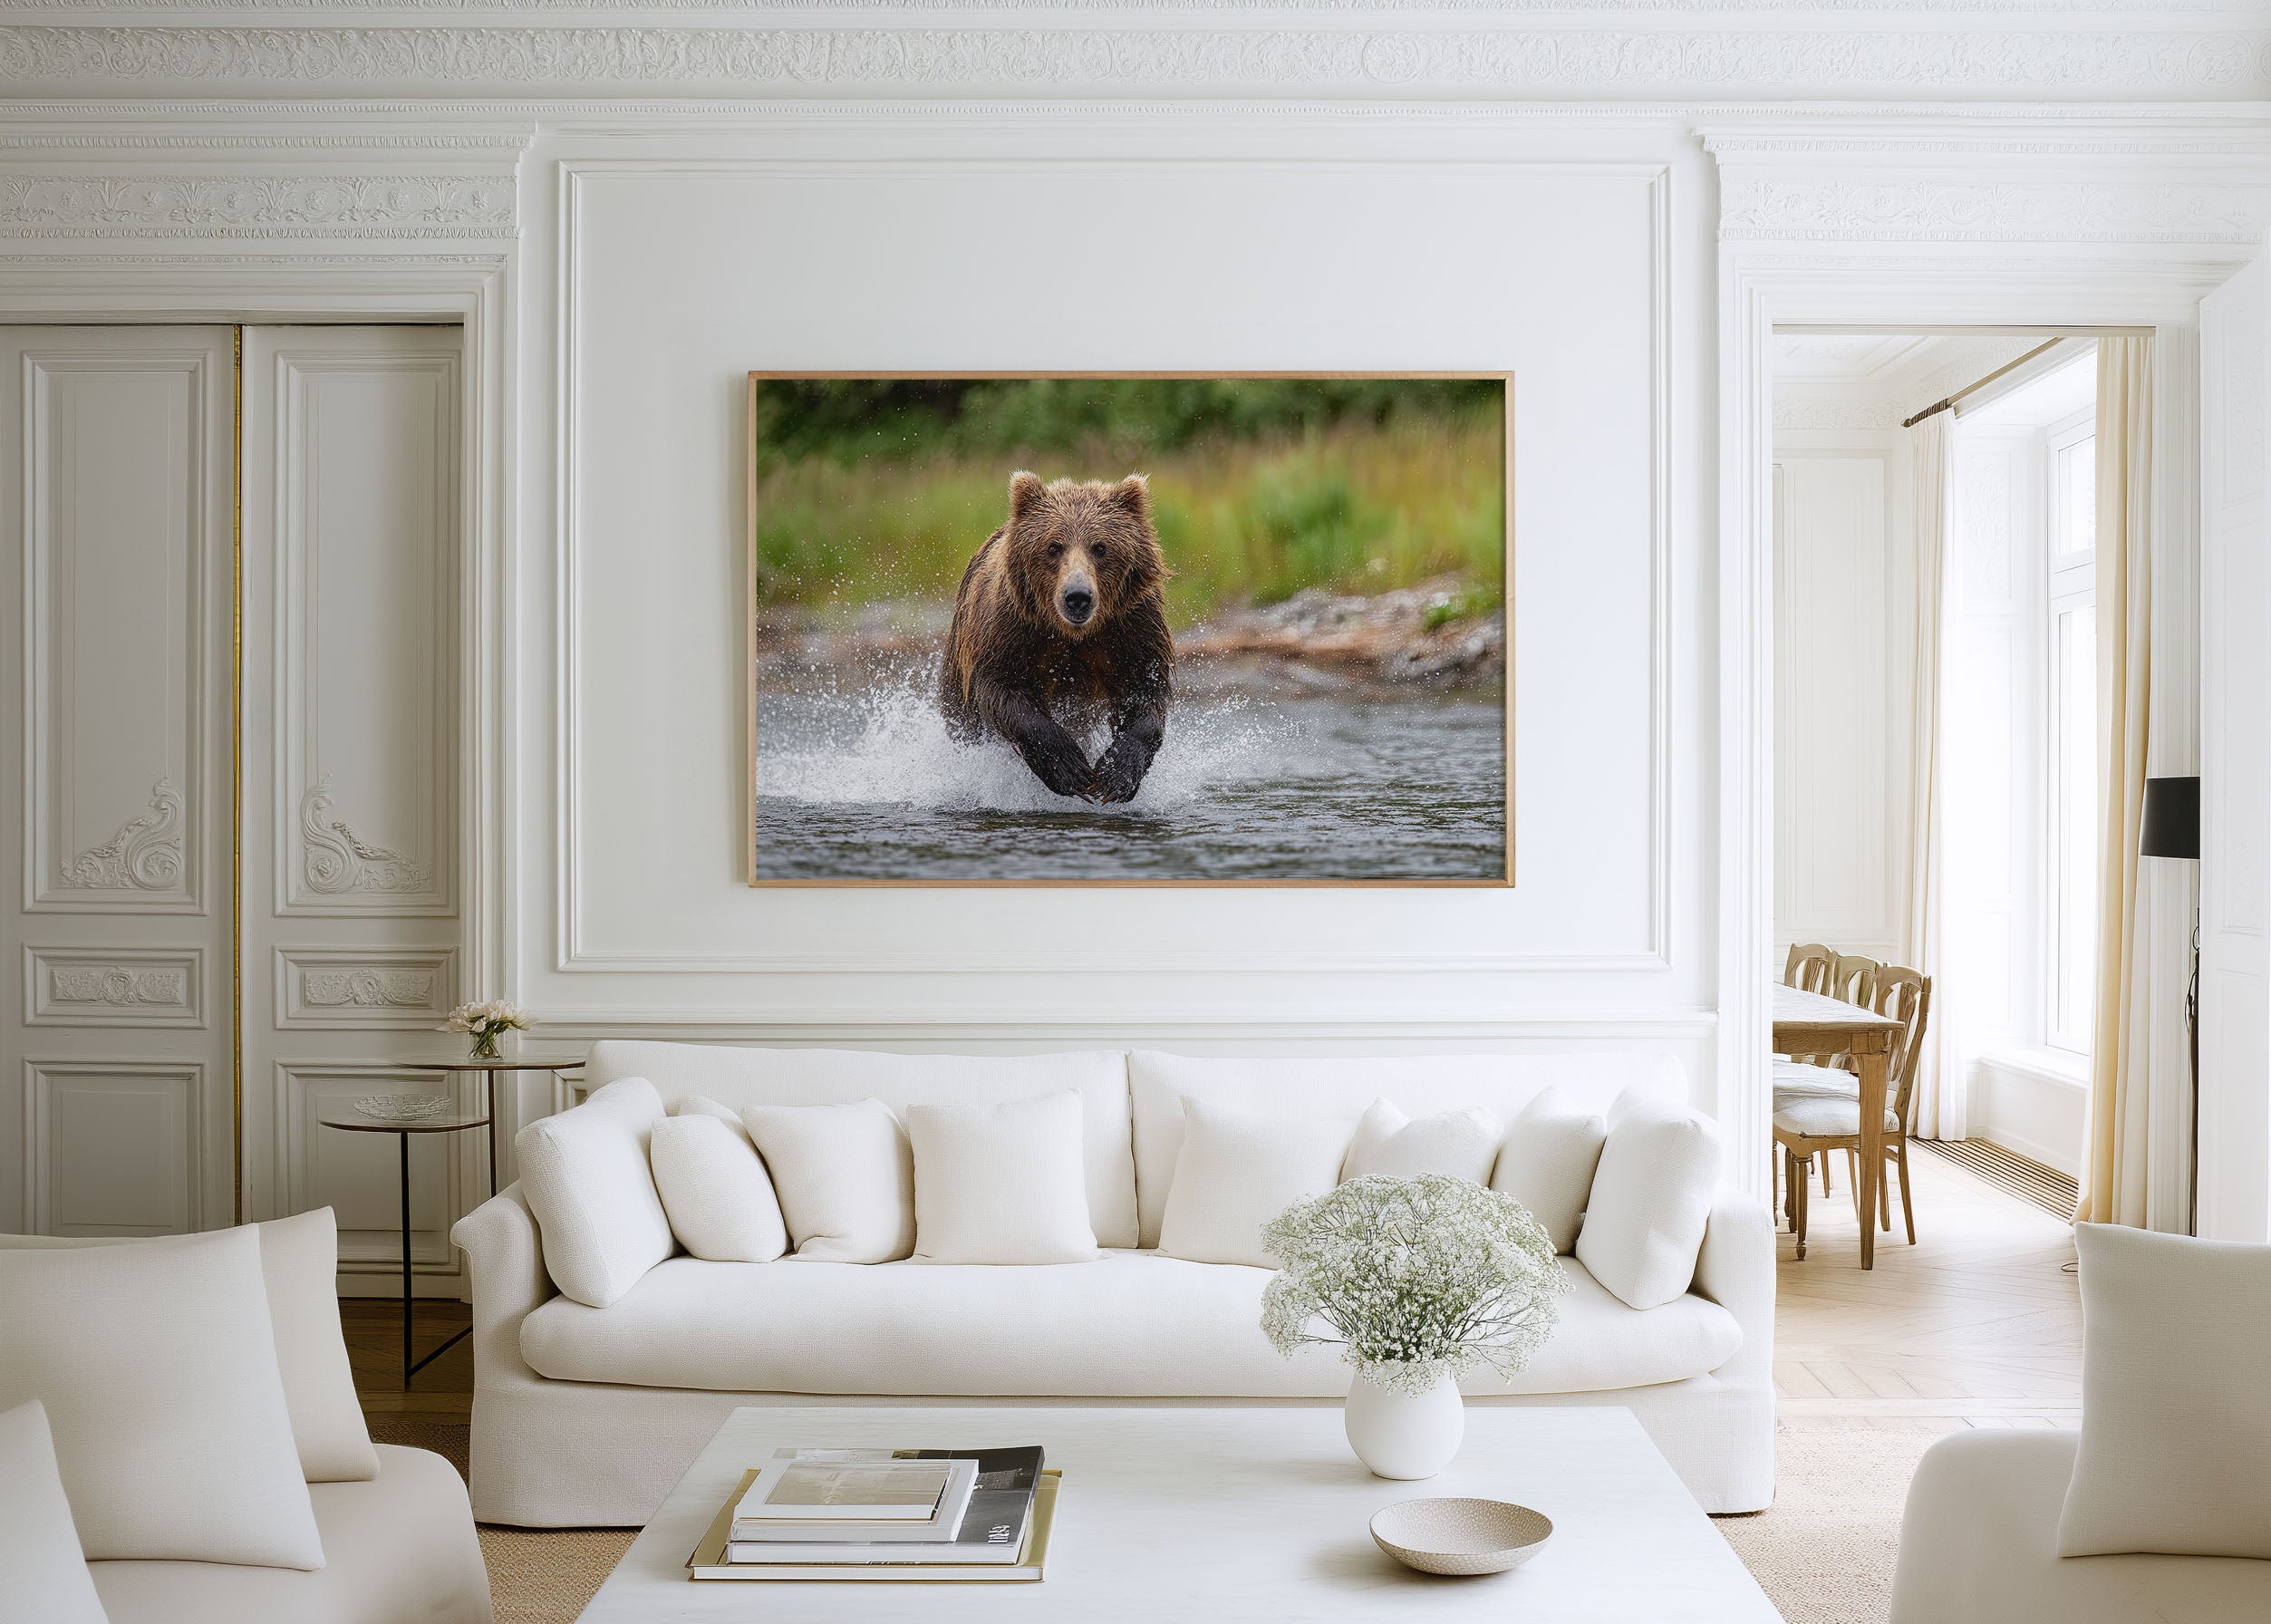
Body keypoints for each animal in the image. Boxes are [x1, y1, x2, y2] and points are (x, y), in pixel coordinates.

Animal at [937, 470, 1174, 804]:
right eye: (1053, 547)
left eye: (1100, 547)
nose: (1077, 596)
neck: (1074, 634)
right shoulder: (1011, 628)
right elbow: (1004, 690)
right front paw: (1071, 770)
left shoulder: (1132, 626)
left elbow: (1145, 691)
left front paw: (1116, 775)